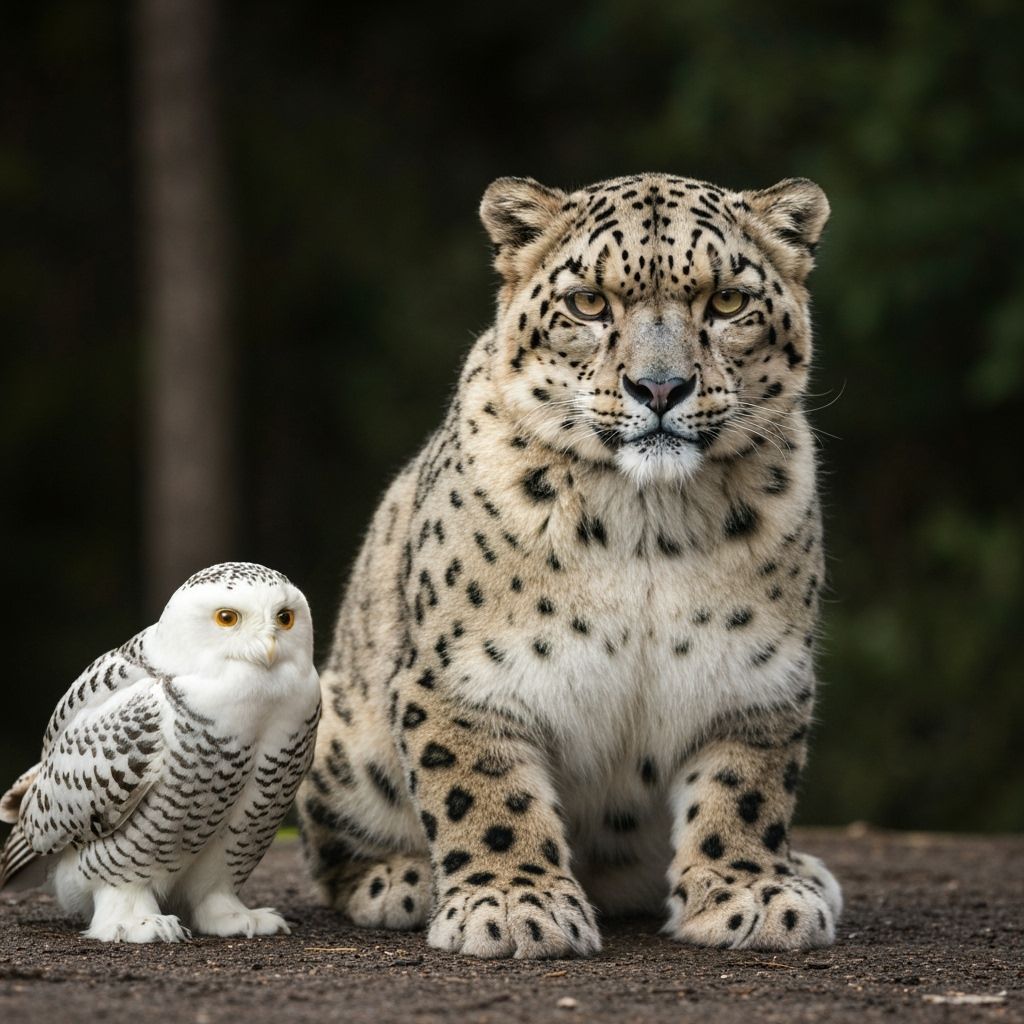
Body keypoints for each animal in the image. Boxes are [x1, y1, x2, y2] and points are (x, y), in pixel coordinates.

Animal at [297, 172, 843, 959]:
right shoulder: (469, 678)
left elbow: (748, 789)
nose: (660, 387)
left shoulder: (756, 677)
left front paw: (755, 893)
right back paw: (403, 881)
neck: (650, 530)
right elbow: (484, 792)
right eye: (588, 302)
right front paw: (512, 905)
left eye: (726, 302)